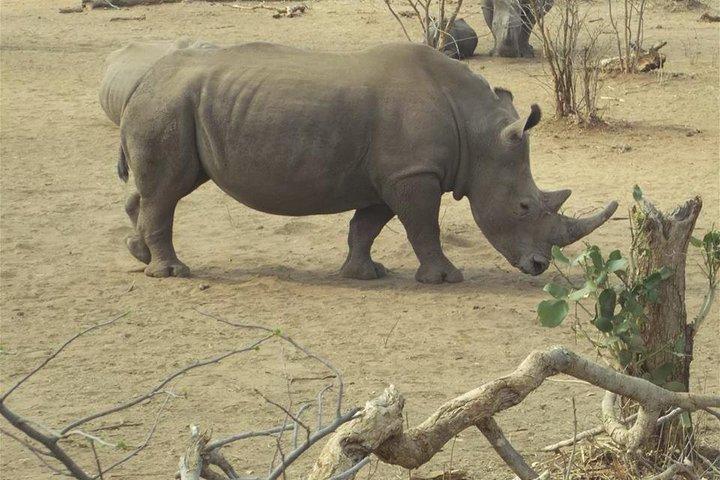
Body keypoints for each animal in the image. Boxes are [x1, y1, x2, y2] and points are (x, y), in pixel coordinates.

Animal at [112, 42, 616, 283]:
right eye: (524, 208)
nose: (540, 267)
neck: (477, 134)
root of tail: (140, 80)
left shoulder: (392, 174)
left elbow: (367, 225)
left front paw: (365, 274)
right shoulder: (413, 173)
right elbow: (424, 227)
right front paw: (445, 278)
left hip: (174, 103)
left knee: (163, 188)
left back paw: (139, 255)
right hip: (168, 104)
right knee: (168, 190)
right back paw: (172, 273)